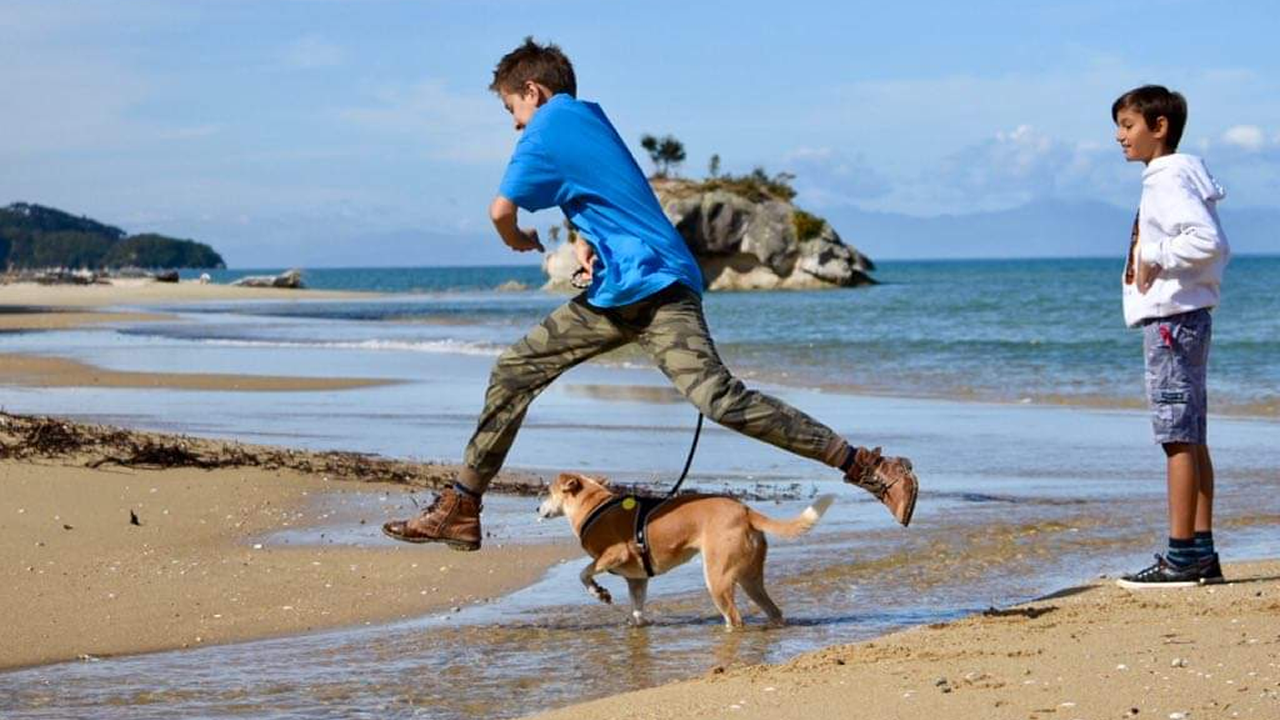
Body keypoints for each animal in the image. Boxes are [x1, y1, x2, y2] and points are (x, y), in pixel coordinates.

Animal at [535, 471, 834, 627]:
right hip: (750, 577)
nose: (536, 508)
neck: (594, 504)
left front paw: (599, 593)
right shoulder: (637, 579)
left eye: (548, 492)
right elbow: (637, 609)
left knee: (735, 617)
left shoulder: (615, 553)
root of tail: (745, 510)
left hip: (718, 577)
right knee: (774, 611)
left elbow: (584, 573)